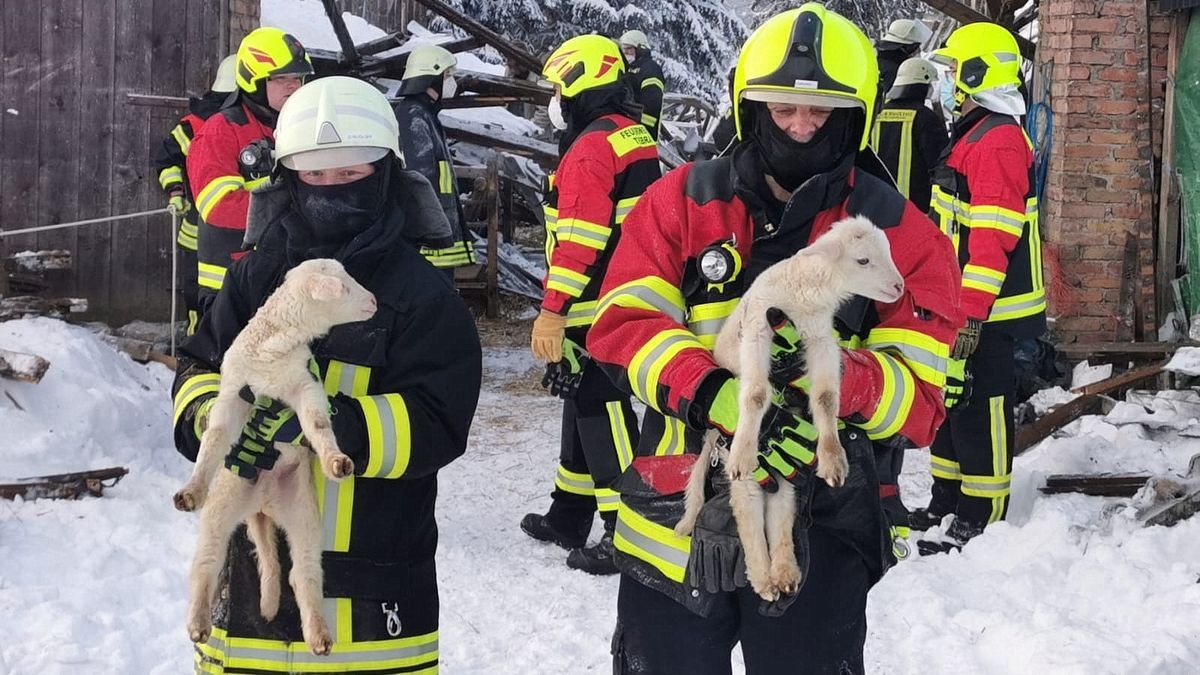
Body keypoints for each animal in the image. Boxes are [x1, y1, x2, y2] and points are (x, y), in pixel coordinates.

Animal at [172, 255, 374, 653]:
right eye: (343, 287)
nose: (374, 301)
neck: (273, 342)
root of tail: (264, 504)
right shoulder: (234, 393)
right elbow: (215, 438)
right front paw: (192, 489)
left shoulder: (304, 387)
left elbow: (316, 424)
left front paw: (336, 461)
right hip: (226, 502)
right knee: (206, 562)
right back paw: (199, 623)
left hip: (304, 514)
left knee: (303, 573)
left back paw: (318, 635)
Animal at [676, 214, 902, 598]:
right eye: (863, 260)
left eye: (888, 251)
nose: (900, 287)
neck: (805, 294)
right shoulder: (758, 330)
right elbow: (754, 394)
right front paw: (745, 449)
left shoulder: (819, 340)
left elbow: (826, 398)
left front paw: (833, 460)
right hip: (743, 468)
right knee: (747, 508)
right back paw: (762, 577)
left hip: (785, 472)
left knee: (781, 509)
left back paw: (783, 573)